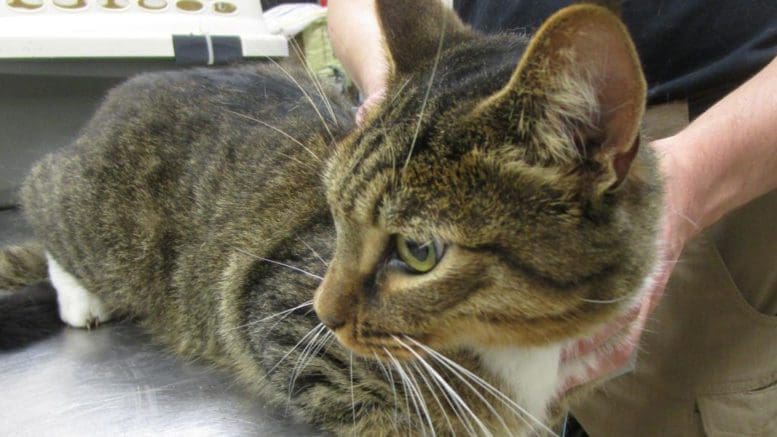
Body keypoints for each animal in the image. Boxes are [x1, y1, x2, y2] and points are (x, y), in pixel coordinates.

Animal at [4, 1, 660, 434]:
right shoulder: (286, 329)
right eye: (335, 216)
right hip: (93, 215)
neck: (522, 348)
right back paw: (79, 296)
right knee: (40, 190)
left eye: (420, 251)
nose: (323, 312)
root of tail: (120, 92)